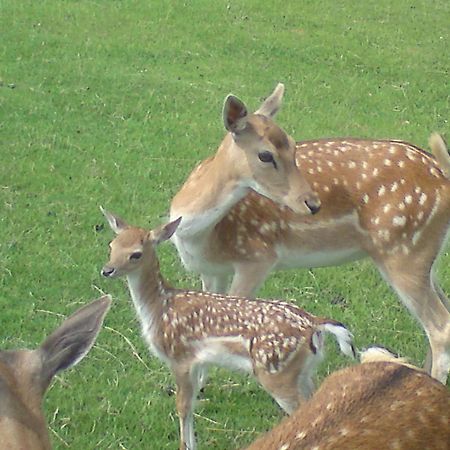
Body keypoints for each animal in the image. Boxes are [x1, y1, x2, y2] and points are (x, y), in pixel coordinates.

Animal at [99, 208, 356, 450]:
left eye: (136, 254)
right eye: (112, 245)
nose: (107, 270)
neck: (159, 307)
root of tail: (314, 324)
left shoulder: (179, 356)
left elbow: (182, 406)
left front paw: (185, 445)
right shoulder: (197, 361)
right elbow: (192, 402)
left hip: (276, 372)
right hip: (303, 371)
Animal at [170, 83, 450, 384]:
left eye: (293, 146)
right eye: (265, 154)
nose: (313, 204)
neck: (198, 233)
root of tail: (442, 176)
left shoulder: (257, 255)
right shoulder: (211, 270)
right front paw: (198, 384)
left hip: (403, 250)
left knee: (439, 327)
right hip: (423, 254)